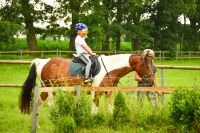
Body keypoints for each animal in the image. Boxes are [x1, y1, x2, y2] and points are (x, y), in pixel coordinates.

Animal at [19, 52, 155, 114]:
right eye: (147, 66)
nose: (152, 81)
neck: (110, 68)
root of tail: (42, 61)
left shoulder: (109, 92)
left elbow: (110, 108)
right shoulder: (96, 92)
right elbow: (95, 108)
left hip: (44, 89)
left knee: (38, 103)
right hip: (50, 88)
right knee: (51, 103)